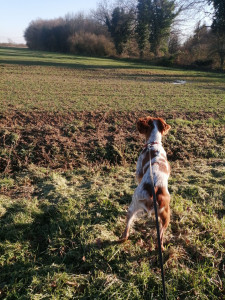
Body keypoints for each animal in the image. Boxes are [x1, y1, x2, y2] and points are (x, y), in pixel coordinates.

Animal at [121, 116, 171, 250]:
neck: (153, 144)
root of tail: (154, 189)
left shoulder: (138, 171)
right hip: (165, 216)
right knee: (161, 235)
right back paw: (161, 247)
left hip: (133, 205)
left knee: (128, 224)